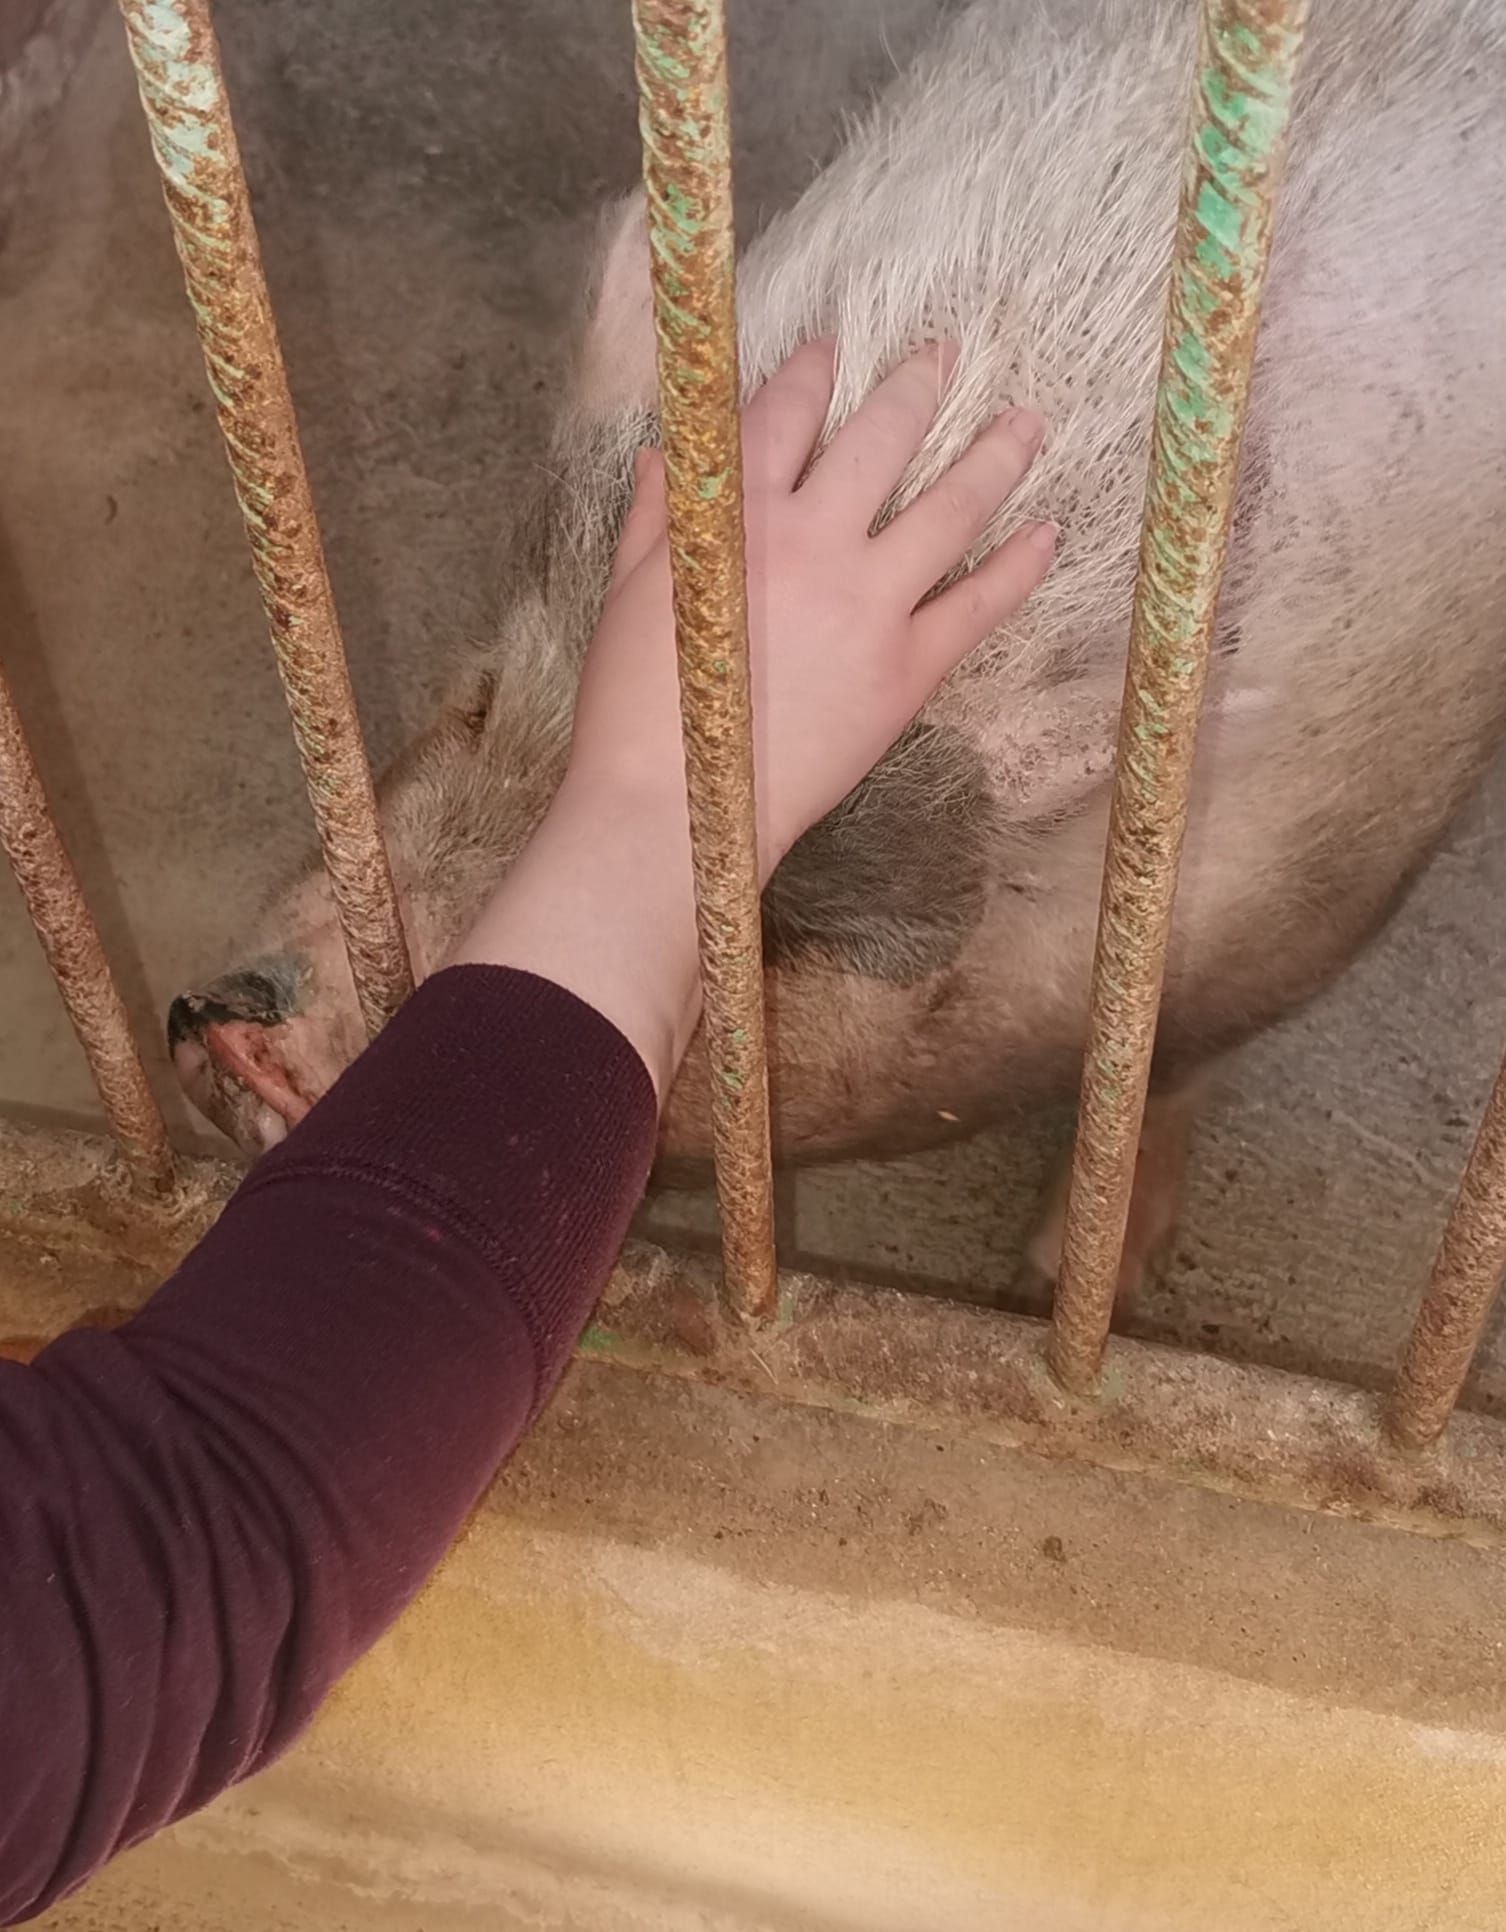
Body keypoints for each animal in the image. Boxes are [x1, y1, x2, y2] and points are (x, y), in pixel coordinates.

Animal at [170, 0, 1506, 1290]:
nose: (242, 1036)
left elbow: (1172, 1072)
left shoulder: (1313, 913)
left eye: (773, 931)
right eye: (485, 700)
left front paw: (1073, 1277)